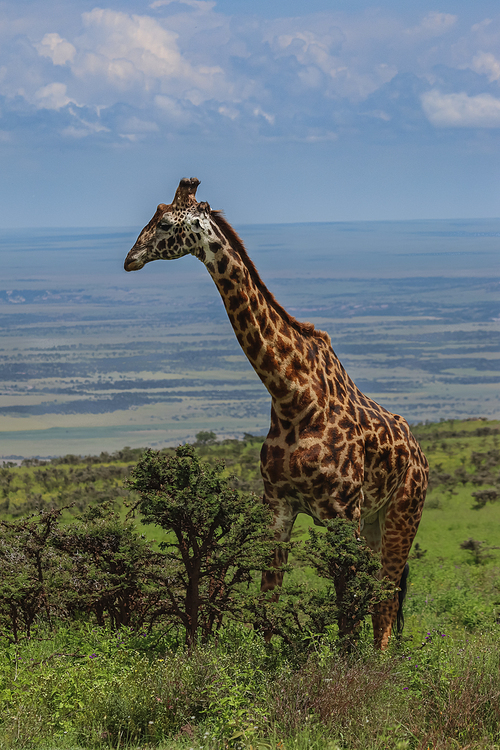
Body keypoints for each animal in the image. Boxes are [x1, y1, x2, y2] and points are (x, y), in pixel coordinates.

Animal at [125, 178, 430, 652]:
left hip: (404, 512)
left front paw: (349, 670)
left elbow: (346, 613)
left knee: (384, 600)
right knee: (383, 598)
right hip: (375, 520)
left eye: (163, 224)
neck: (292, 396)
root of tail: (418, 453)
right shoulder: (278, 504)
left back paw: (383, 663)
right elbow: (267, 602)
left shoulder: (342, 513)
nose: (130, 259)